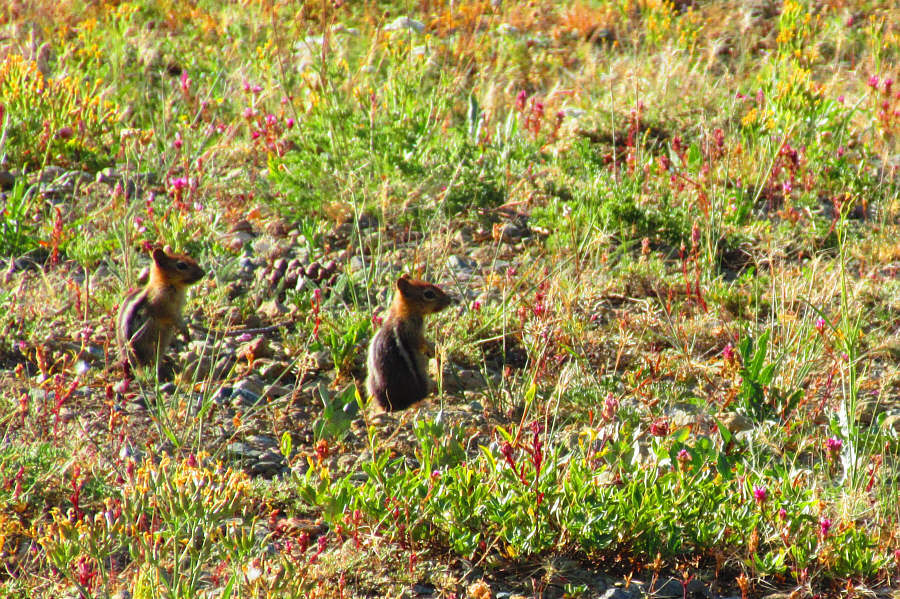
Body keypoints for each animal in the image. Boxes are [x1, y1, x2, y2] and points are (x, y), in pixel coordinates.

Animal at [366, 276, 454, 412]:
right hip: (422, 377)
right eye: (429, 294)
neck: (401, 313)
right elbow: (421, 343)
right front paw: (434, 349)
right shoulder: (414, 331)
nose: (449, 300)